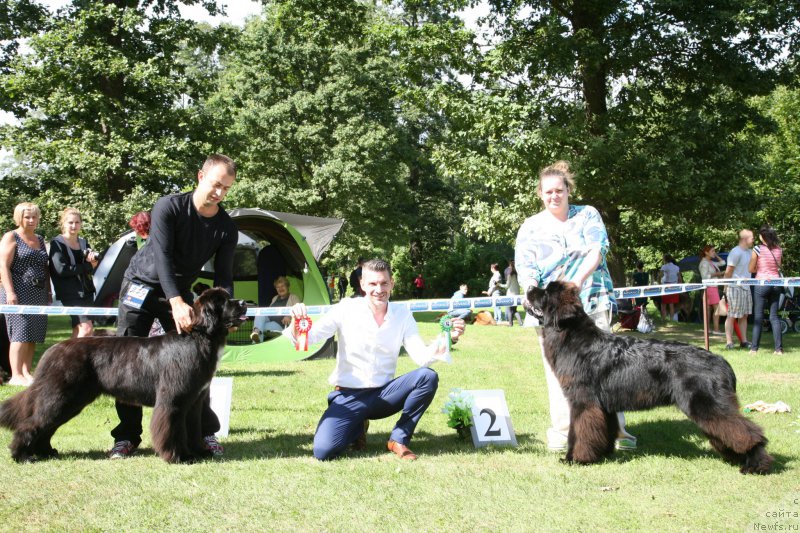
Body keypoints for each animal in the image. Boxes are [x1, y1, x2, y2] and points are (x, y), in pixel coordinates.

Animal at [0, 286, 247, 462]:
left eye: (228, 297)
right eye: (222, 301)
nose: (244, 303)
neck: (199, 337)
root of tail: (53, 349)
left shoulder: (194, 400)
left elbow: (194, 428)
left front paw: (200, 452)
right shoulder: (174, 400)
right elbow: (173, 429)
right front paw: (179, 457)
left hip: (72, 400)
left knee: (48, 425)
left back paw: (46, 451)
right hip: (60, 396)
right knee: (34, 423)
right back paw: (21, 455)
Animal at [528, 280, 772, 472]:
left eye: (546, 292)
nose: (529, 287)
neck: (572, 335)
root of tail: (721, 361)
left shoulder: (583, 401)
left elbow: (578, 432)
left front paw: (575, 459)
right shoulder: (603, 406)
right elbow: (603, 430)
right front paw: (603, 454)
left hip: (706, 403)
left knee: (746, 432)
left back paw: (756, 464)